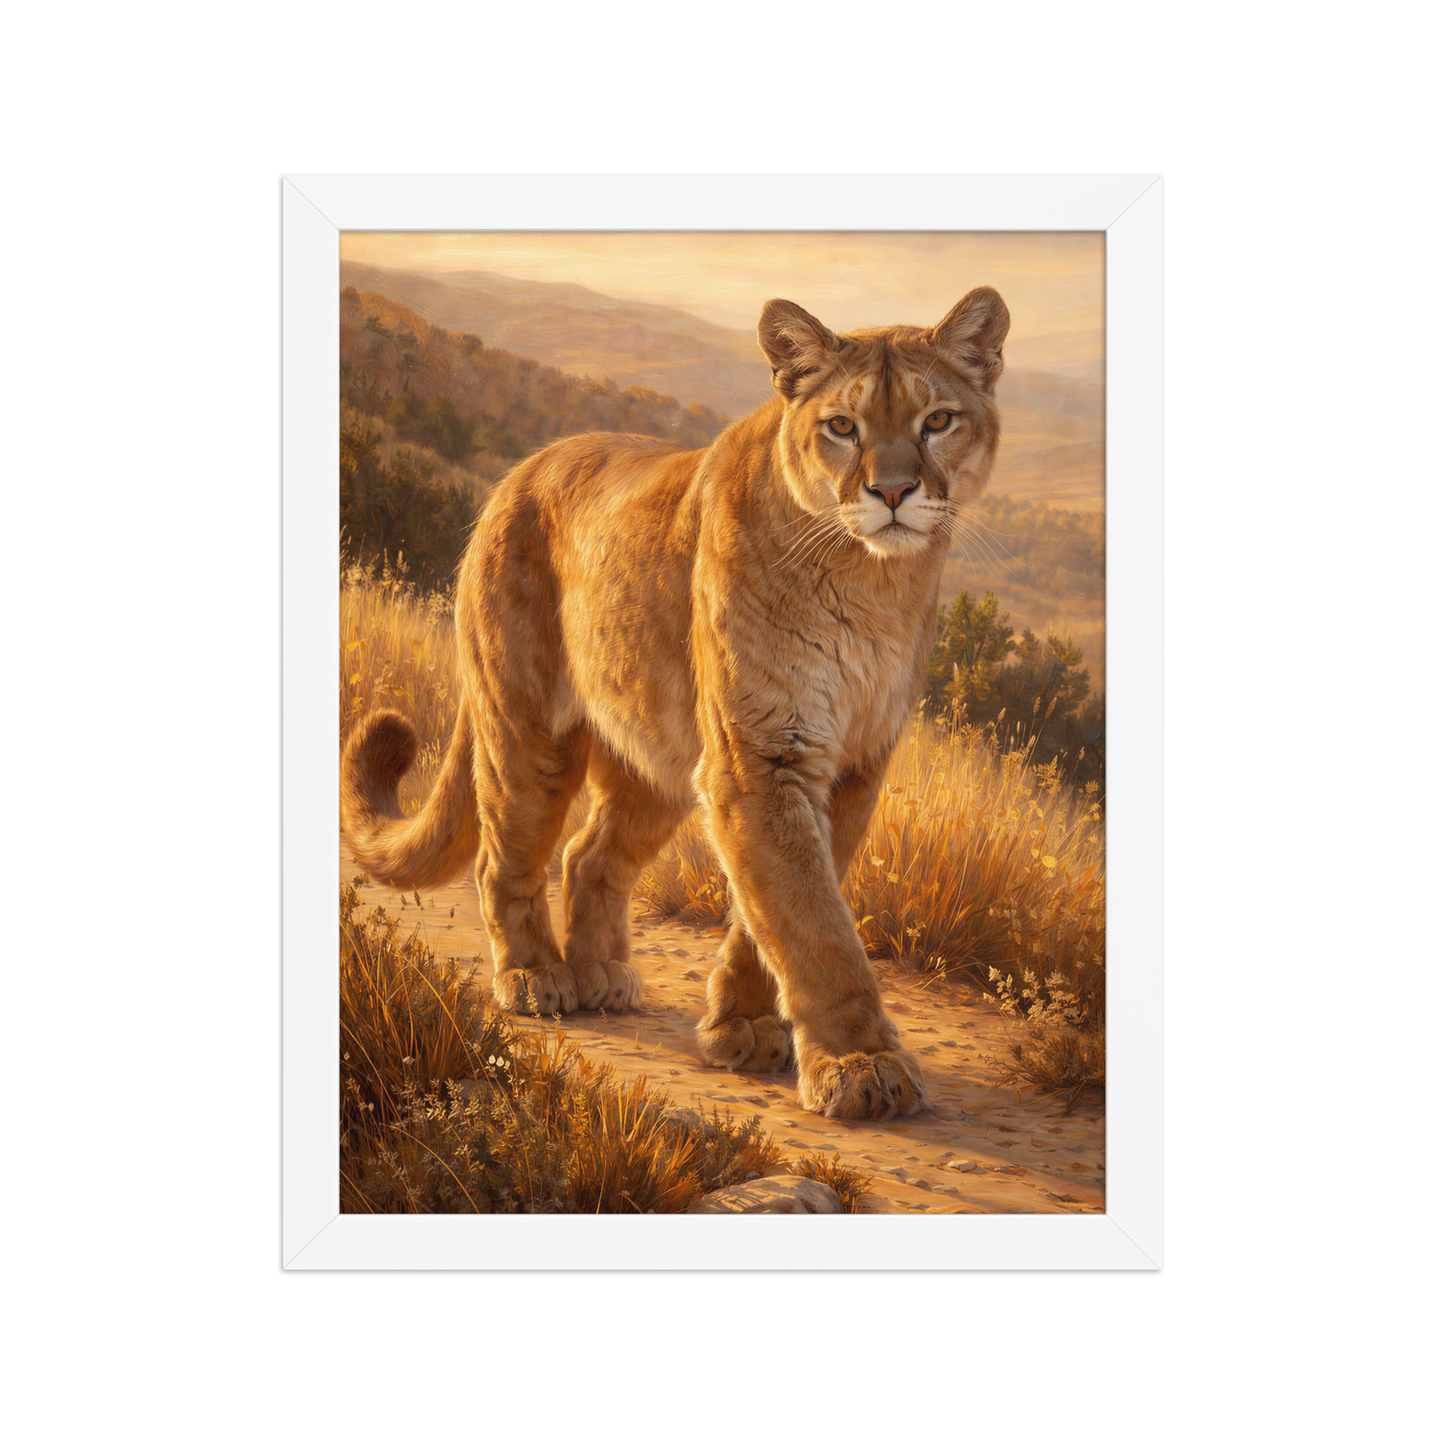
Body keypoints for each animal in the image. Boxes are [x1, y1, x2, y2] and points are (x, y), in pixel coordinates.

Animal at [342, 286, 1010, 1120]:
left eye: (937, 420)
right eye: (841, 426)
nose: (891, 491)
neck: (873, 581)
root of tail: (519, 471)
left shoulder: (849, 765)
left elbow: (778, 909)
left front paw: (744, 1028)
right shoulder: (761, 756)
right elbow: (813, 924)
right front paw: (862, 1065)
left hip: (654, 756)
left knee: (590, 854)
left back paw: (602, 976)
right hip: (528, 731)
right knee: (508, 855)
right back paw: (534, 977)